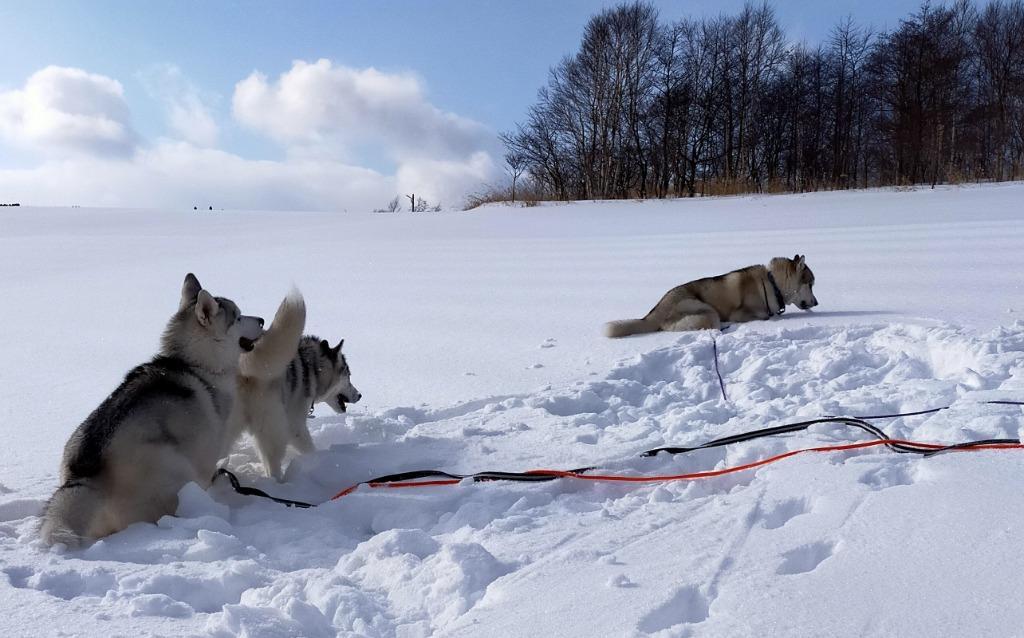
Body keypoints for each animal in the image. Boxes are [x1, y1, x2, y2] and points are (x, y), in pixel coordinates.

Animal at [39, 272, 264, 544]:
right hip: (174, 465)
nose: (262, 320)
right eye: (238, 316)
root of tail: (84, 474)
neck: (194, 365)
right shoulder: (206, 451)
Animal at [230, 292, 362, 479]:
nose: (360, 395)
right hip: (270, 425)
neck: (312, 366)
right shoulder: (295, 425)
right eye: (348, 376)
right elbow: (309, 448)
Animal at [606, 254, 815, 337]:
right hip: (707, 312)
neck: (772, 283)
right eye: (811, 284)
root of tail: (653, 313)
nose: (817, 302)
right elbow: (764, 316)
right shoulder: (742, 313)